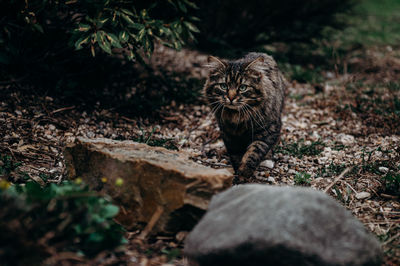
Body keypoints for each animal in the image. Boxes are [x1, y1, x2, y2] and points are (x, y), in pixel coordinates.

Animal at [205, 52, 286, 184]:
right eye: (223, 86)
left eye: (243, 87)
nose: (231, 98)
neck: (237, 117)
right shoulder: (229, 135)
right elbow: (236, 156)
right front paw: (237, 173)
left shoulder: (267, 132)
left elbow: (253, 154)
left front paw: (244, 173)